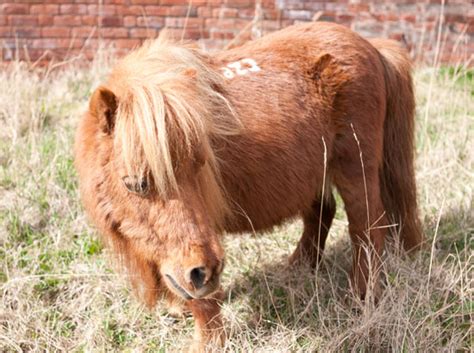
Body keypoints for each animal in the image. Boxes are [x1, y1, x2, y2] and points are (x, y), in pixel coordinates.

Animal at [74, 21, 422, 350]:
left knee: (366, 229)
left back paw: (361, 296)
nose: (203, 273)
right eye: (135, 184)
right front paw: (178, 308)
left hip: (356, 171)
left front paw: (208, 343)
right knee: (322, 214)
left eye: (199, 166)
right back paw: (298, 268)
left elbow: (204, 300)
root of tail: (371, 46)